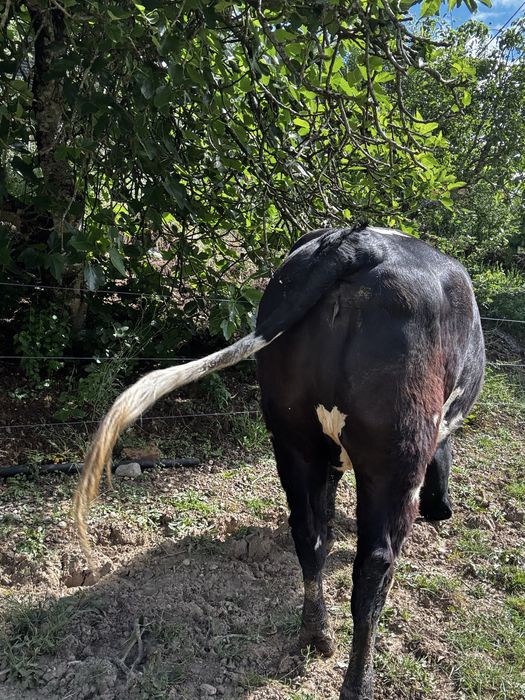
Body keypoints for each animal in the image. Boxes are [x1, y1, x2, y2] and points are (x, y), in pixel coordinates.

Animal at [73, 224, 485, 700]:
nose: (442, 509)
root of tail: (359, 242)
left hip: (292, 436)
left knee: (308, 533)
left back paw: (315, 635)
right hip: (396, 454)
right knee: (374, 566)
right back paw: (357, 681)